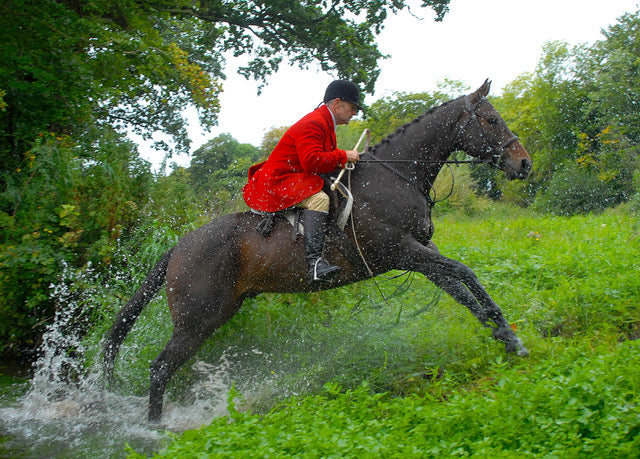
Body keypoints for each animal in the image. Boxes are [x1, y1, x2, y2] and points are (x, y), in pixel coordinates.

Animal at [105, 79, 532, 424]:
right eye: (491, 120)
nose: (524, 164)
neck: (397, 175)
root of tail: (179, 246)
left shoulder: (422, 251)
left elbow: (461, 289)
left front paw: (506, 337)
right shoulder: (402, 251)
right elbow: (465, 273)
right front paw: (509, 335)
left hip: (219, 311)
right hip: (197, 320)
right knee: (160, 369)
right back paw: (154, 430)